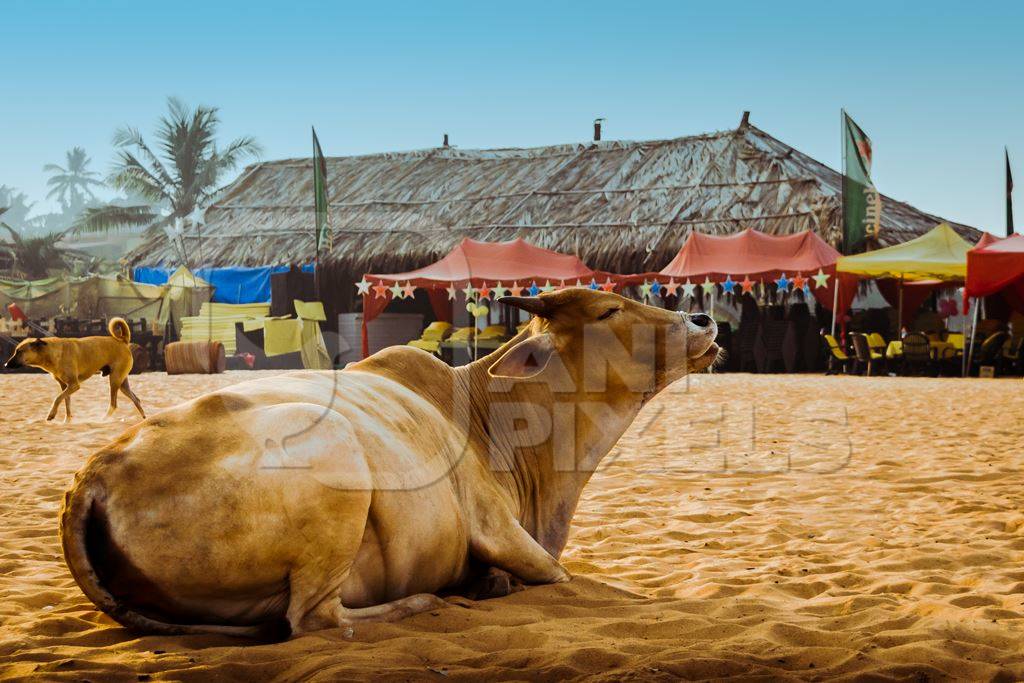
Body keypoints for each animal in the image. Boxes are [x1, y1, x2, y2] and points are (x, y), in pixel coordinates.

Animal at [4, 317, 146, 421]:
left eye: (19, 352)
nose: (5, 365)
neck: (51, 352)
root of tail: (123, 341)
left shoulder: (74, 385)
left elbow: (57, 398)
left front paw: (51, 414)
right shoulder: (65, 386)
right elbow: (66, 403)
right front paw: (67, 421)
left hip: (114, 380)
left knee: (114, 404)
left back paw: (103, 419)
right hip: (122, 383)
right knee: (136, 399)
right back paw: (144, 420)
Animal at [59, 286, 724, 638]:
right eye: (608, 312)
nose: (703, 317)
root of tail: (93, 478)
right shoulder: (496, 526)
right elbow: (561, 577)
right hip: (335, 456)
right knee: (316, 619)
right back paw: (423, 602)